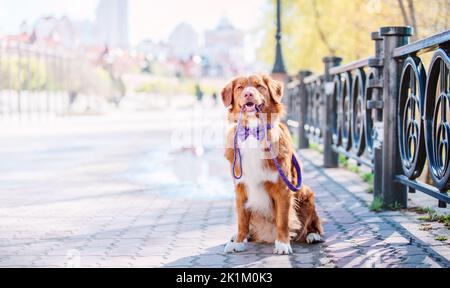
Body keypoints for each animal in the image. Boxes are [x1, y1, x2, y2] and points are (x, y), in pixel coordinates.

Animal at [221, 73, 324, 254]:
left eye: (259, 86)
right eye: (240, 87)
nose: (248, 93)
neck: (253, 133)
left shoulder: (283, 189)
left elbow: (282, 220)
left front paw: (282, 244)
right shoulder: (240, 187)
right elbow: (242, 219)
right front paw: (239, 241)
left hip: (305, 191)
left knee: (313, 223)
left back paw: (313, 235)